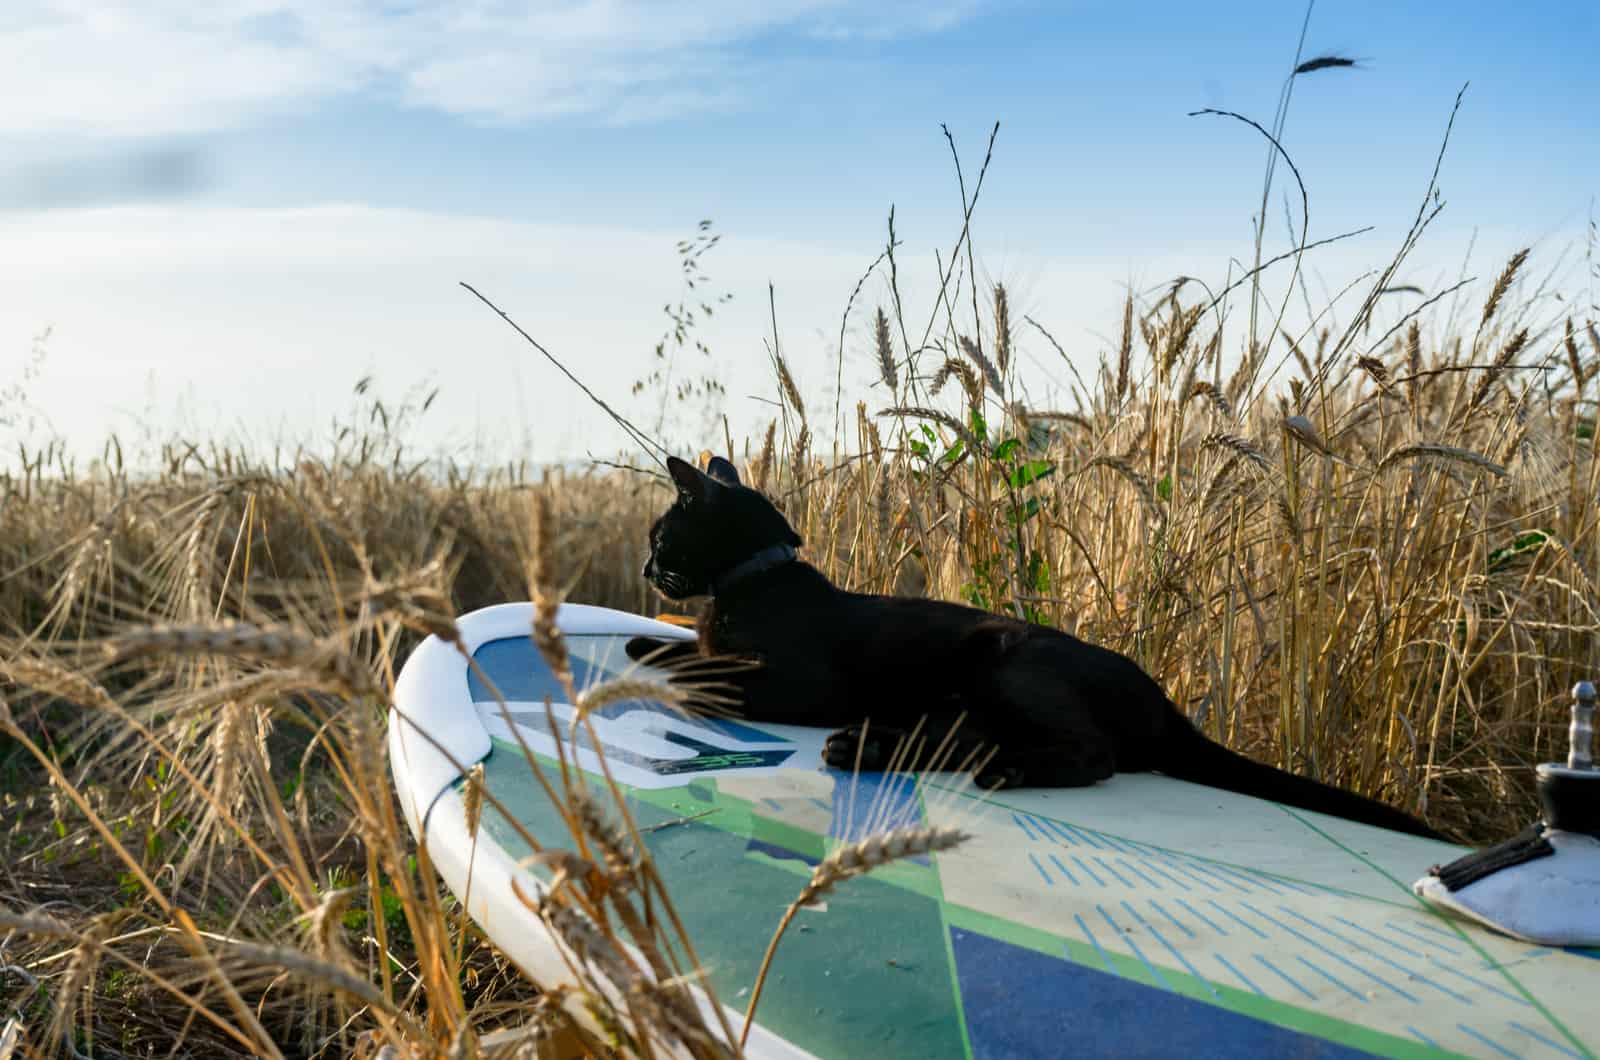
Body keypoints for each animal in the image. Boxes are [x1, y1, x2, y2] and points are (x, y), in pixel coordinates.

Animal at [630, 457, 1446, 839]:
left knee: (1089, 754)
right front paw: (647, 639)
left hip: (1012, 662)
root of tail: (1166, 705)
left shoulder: (797, 683)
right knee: (959, 739)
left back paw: (979, 766)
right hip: (972, 693)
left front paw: (667, 661)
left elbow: (706, 664)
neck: (754, 576)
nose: (642, 568)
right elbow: (679, 644)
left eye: (660, 534)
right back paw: (872, 746)